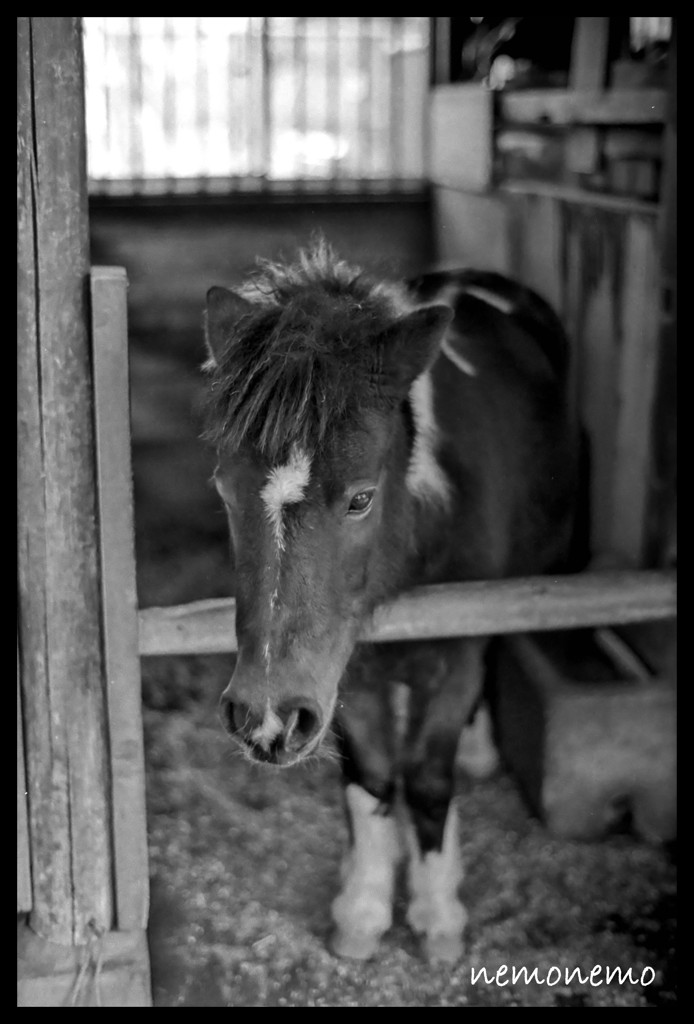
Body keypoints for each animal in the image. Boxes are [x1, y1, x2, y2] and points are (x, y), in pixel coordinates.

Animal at [203, 243, 585, 962]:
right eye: (225, 491)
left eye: (360, 498)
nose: (263, 719)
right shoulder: (339, 670)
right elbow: (374, 776)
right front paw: (363, 908)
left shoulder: (455, 653)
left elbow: (429, 779)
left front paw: (438, 915)